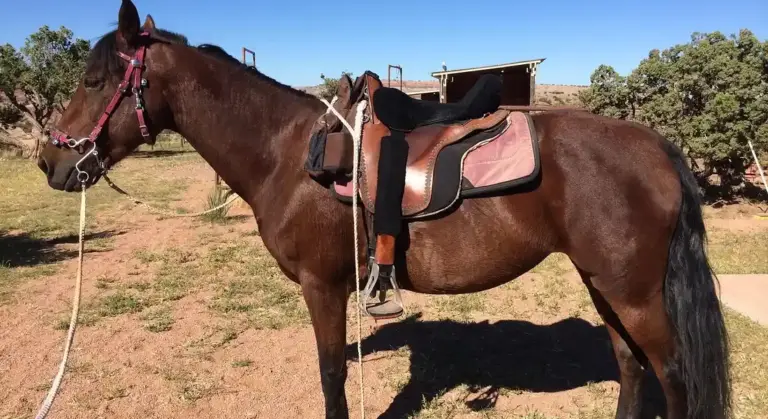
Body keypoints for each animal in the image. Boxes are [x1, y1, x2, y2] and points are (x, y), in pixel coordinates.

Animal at [37, 1, 730, 418]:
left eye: (95, 81)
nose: (50, 162)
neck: (287, 153)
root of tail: (658, 148)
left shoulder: (322, 286)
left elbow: (330, 375)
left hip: (633, 293)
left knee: (670, 375)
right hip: (604, 283)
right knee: (631, 368)